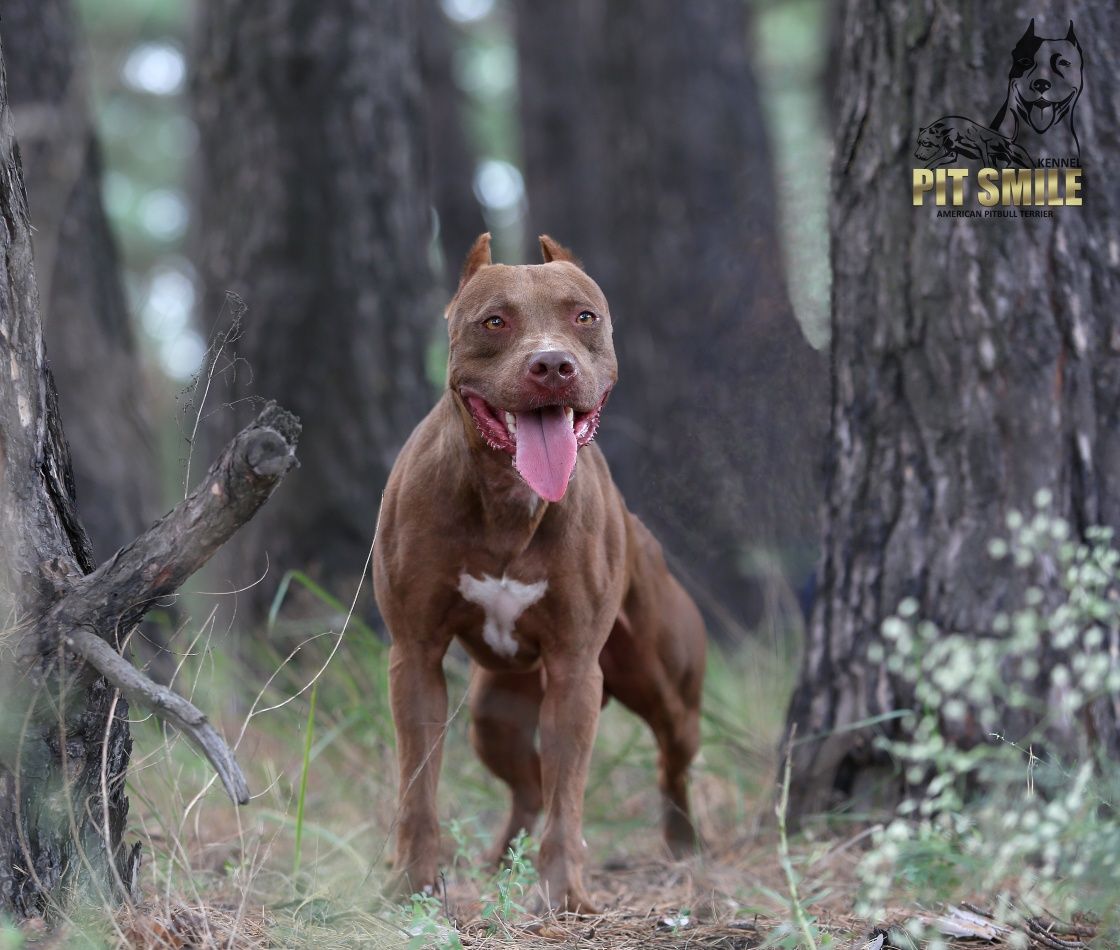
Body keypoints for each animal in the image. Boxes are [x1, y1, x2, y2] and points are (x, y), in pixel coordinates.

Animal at [376, 231, 707, 914]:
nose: (551, 365)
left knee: (668, 764)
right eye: (493, 322)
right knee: (527, 784)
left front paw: (564, 896)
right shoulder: (414, 658)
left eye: (584, 316)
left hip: (665, 692)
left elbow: (568, 794)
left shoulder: (576, 669)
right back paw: (503, 860)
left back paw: (682, 846)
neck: (509, 500)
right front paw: (411, 885)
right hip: (493, 716)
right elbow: (417, 786)